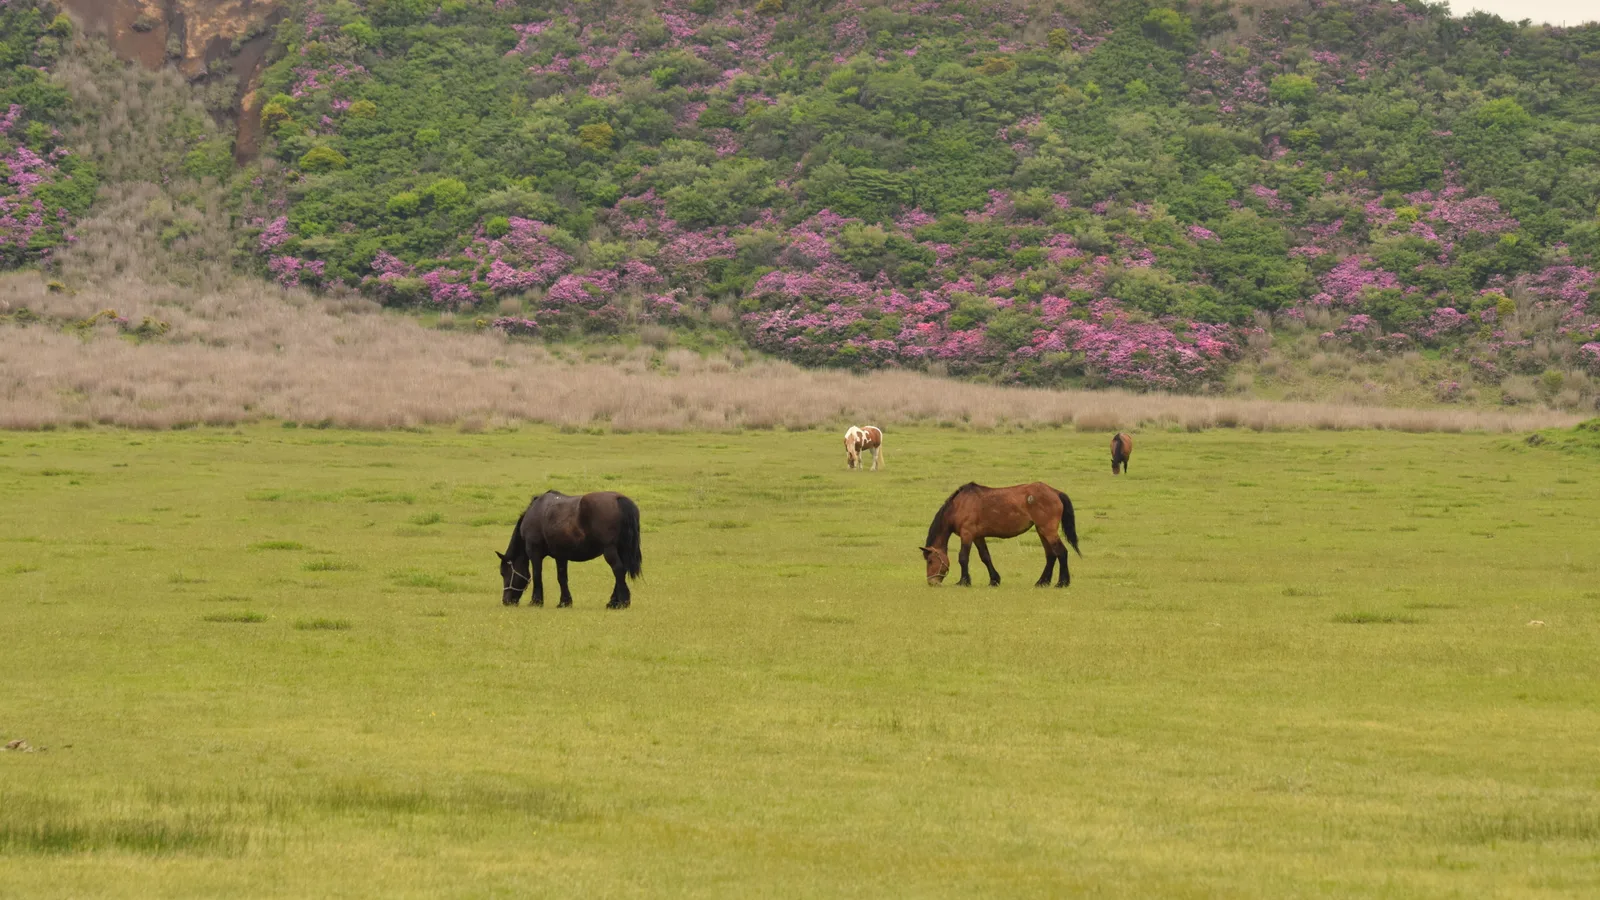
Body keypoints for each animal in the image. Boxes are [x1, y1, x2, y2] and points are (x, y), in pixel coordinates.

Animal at [497, 490, 642, 608]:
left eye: (504, 572)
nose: (506, 601)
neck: (536, 512)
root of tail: (619, 499)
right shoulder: (561, 555)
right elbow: (562, 577)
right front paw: (564, 602)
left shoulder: (534, 552)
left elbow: (537, 575)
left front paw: (536, 601)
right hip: (621, 550)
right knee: (622, 570)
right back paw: (614, 601)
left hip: (609, 550)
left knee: (618, 570)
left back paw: (621, 602)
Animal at [919, 482, 1081, 588]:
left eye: (930, 561)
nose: (931, 582)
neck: (958, 506)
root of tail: (1055, 492)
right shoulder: (978, 537)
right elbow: (985, 557)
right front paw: (994, 580)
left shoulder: (967, 534)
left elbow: (963, 557)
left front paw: (963, 581)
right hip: (1042, 531)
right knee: (1051, 555)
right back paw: (1042, 582)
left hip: (1048, 530)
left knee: (1061, 552)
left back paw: (1062, 583)